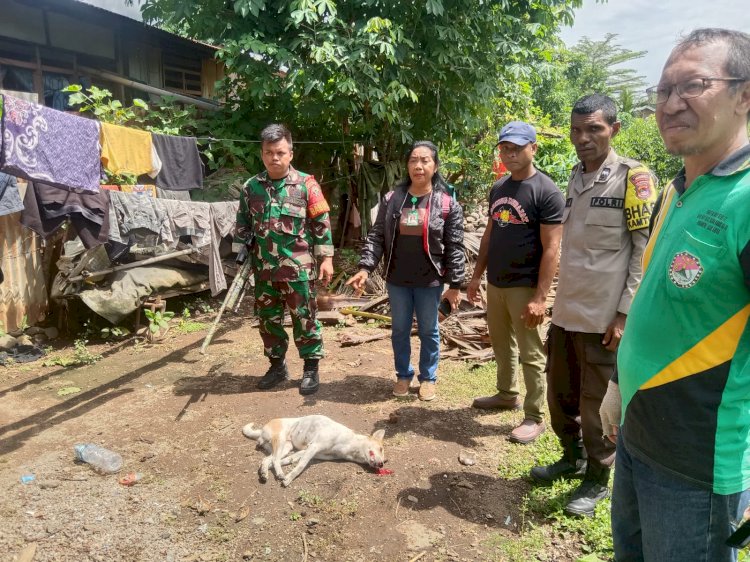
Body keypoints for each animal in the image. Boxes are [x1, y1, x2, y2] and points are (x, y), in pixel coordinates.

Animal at [244, 412, 388, 486]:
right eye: (381, 449)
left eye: (385, 460)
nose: (382, 464)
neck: (349, 445)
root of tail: (261, 430)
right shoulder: (313, 447)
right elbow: (300, 466)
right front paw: (289, 478)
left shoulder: (307, 452)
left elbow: (289, 461)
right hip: (280, 440)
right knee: (274, 459)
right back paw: (279, 473)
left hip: (286, 447)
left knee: (268, 459)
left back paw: (264, 473)